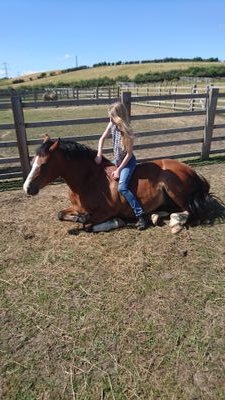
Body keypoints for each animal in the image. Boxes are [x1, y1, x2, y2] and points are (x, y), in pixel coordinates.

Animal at [23, 135, 221, 233]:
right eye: (32, 161)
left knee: (190, 212)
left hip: (174, 189)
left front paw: (116, 222)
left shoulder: (107, 211)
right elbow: (61, 214)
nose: (27, 188)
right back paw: (153, 216)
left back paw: (173, 222)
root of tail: (191, 171)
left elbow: (86, 224)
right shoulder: (77, 207)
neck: (89, 180)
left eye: (44, 164)